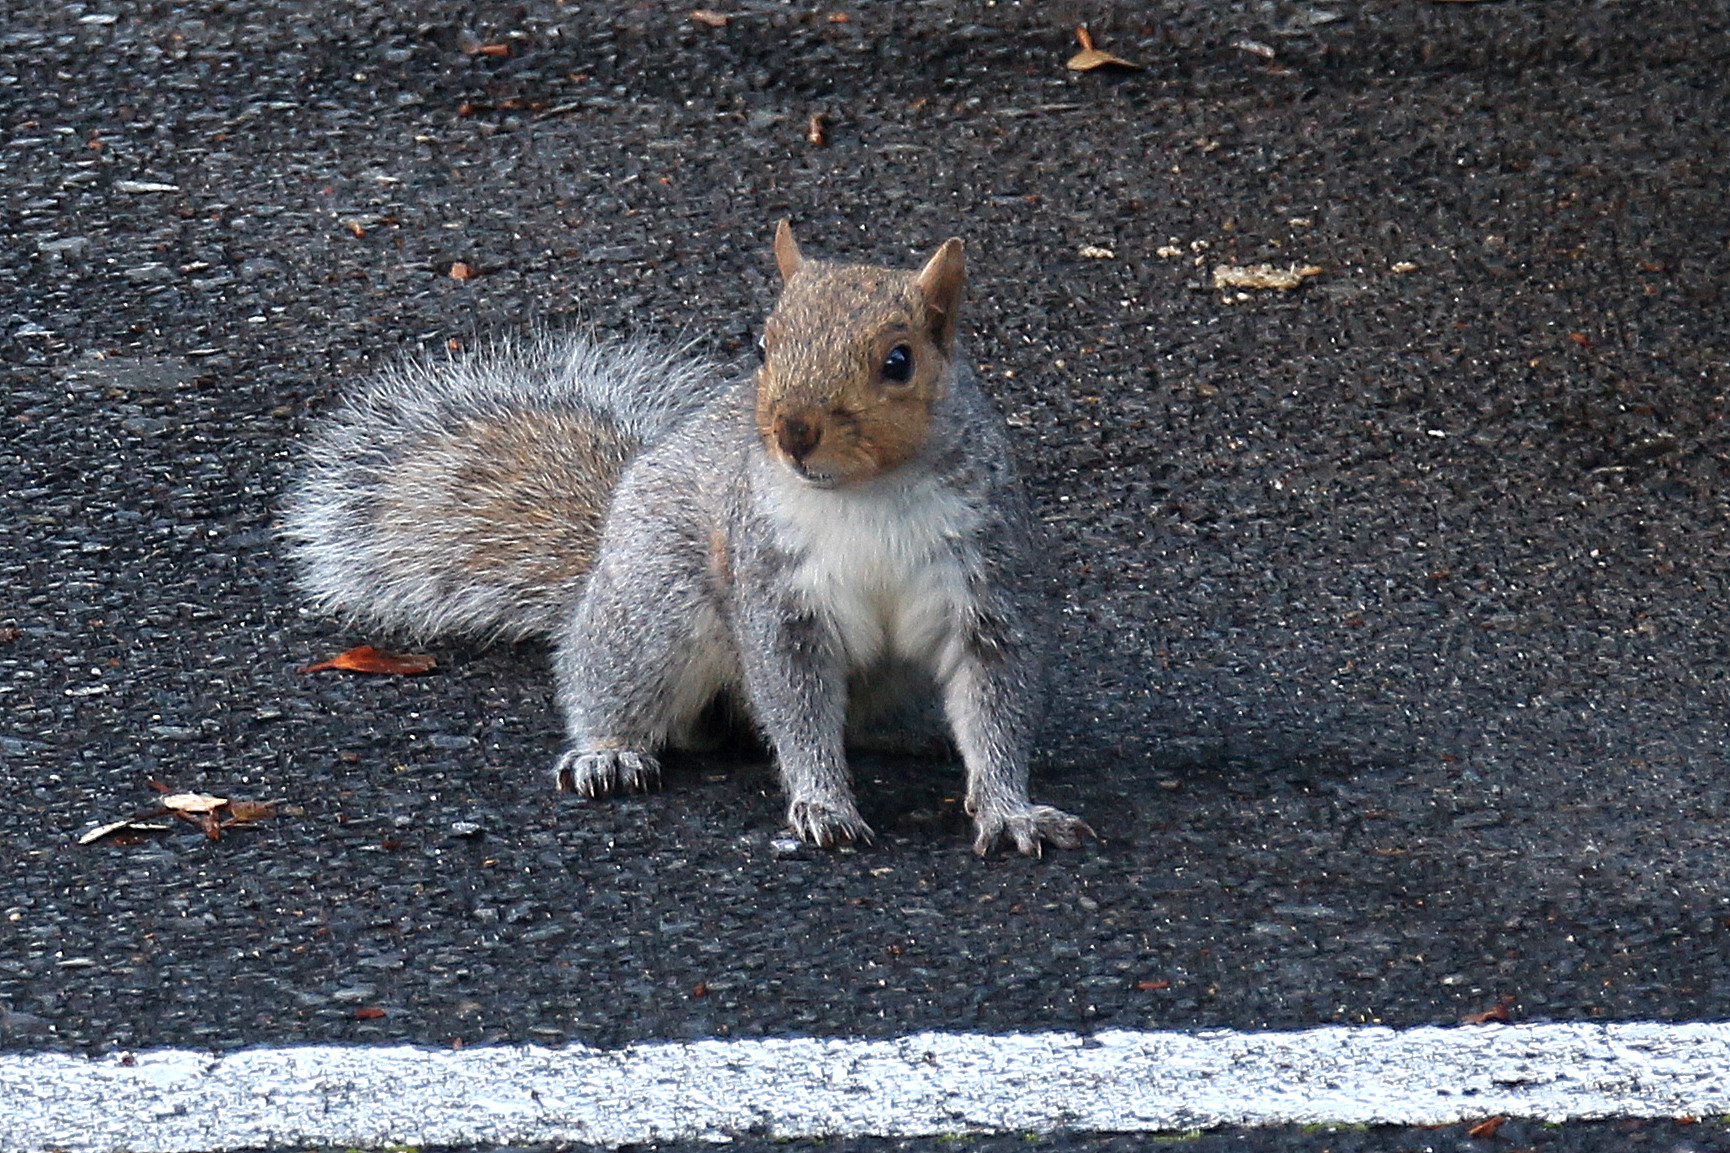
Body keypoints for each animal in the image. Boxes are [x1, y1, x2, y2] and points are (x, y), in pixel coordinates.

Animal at [285, 221, 1093, 851]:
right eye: (764, 345)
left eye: (900, 361)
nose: (793, 430)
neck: (867, 495)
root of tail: (602, 552)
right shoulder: (775, 592)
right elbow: (795, 704)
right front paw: (823, 801)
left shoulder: (986, 579)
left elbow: (995, 697)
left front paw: (1009, 809)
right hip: (656, 610)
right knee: (609, 682)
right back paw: (608, 753)